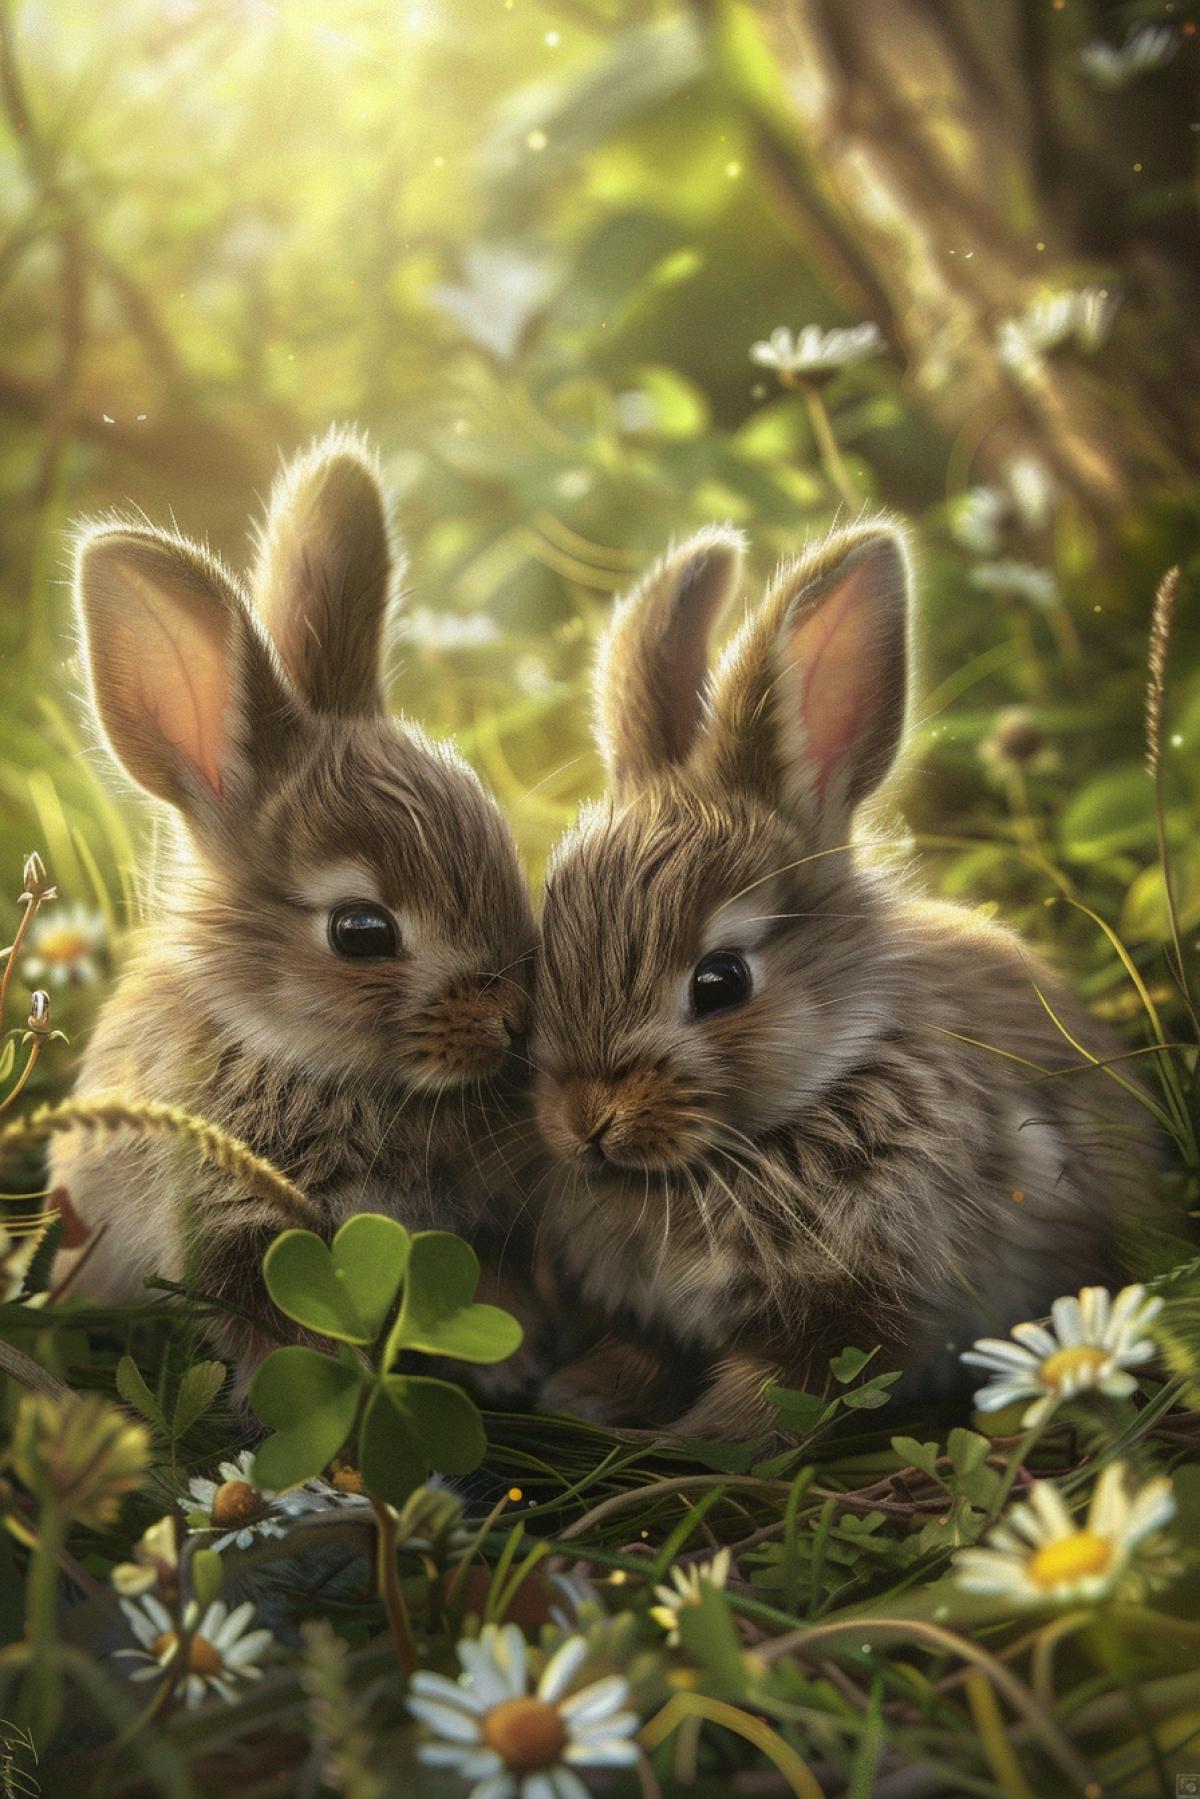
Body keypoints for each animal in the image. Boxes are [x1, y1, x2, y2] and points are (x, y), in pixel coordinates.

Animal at [528, 521, 1152, 1440]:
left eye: (721, 981)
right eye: (541, 952)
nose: (585, 1123)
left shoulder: (858, 1305)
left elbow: (787, 1389)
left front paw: (698, 1441)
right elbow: (642, 1351)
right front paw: (584, 1395)